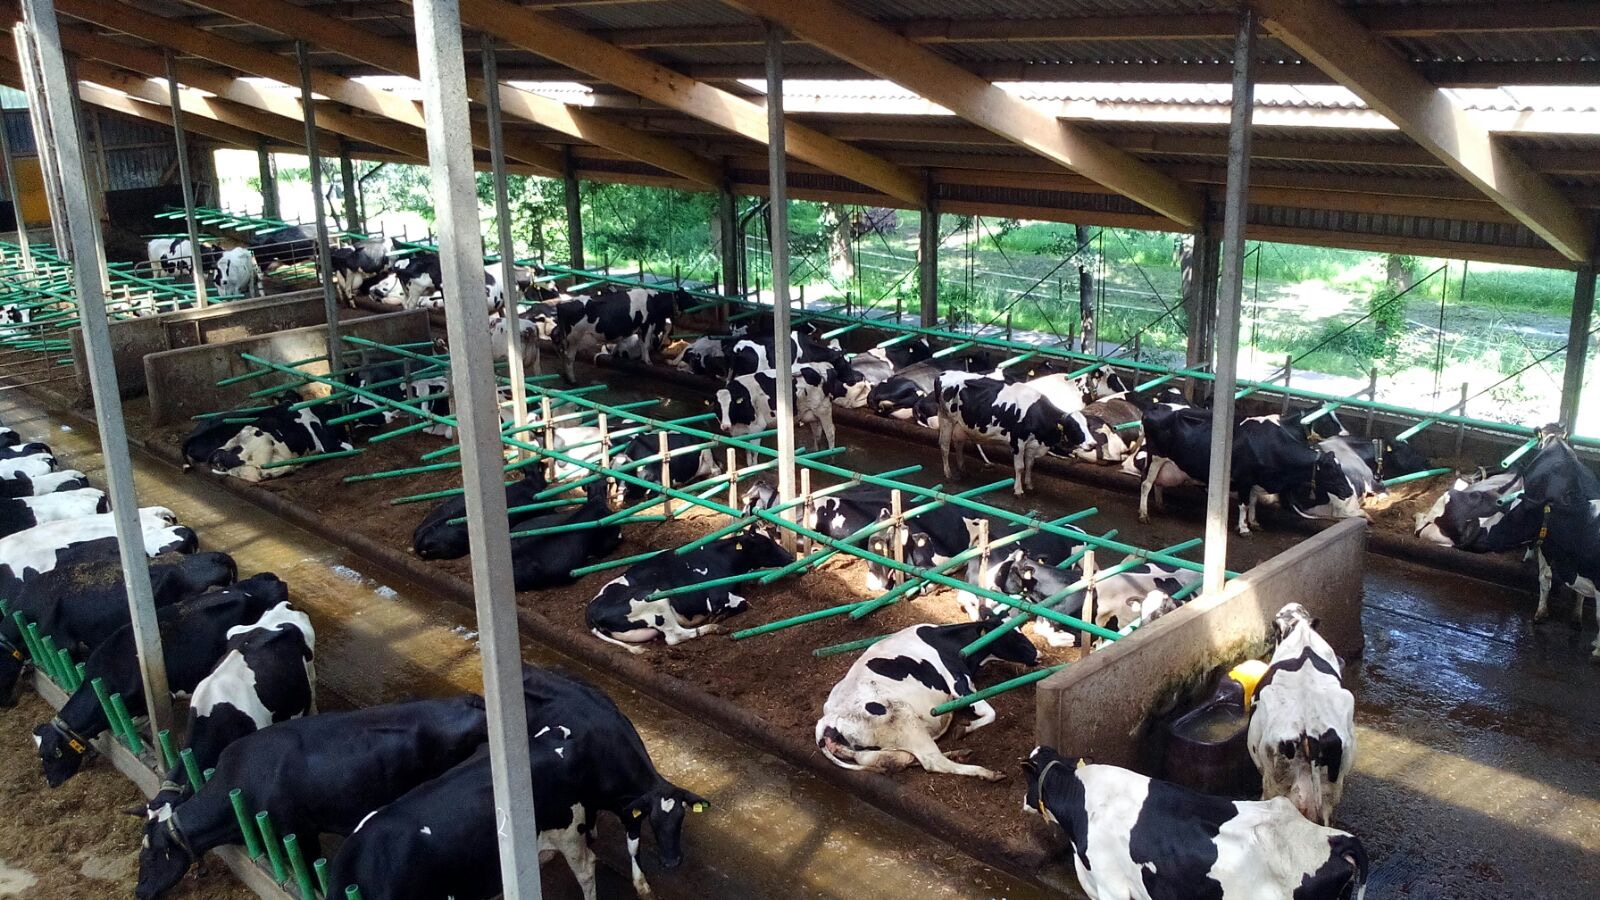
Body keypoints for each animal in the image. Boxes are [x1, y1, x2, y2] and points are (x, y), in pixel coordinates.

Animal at [520, 667, 709, 896]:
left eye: (681, 817)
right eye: (654, 821)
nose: (671, 862)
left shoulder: (632, 807)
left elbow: (633, 844)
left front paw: (641, 883)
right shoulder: (588, 798)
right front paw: (590, 834)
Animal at [587, 531, 793, 652]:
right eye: (765, 544)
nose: (791, 557)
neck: (722, 557)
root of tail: (590, 610)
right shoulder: (716, 598)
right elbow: (742, 603)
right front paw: (719, 616)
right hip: (655, 601)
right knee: (675, 636)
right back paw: (714, 627)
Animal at [815, 620, 1038, 781]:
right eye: (1011, 635)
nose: (1037, 653)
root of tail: (828, 720)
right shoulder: (959, 684)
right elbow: (991, 713)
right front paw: (964, 728)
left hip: (873, 751)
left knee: (902, 759)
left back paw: (960, 753)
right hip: (903, 717)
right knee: (932, 761)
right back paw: (986, 772)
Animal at [936, 371, 1094, 495]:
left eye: (1087, 425)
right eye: (1075, 427)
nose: (1093, 444)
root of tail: (943, 374)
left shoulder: (1032, 443)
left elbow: (1030, 464)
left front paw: (1029, 484)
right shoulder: (1018, 441)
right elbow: (1020, 467)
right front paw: (1018, 490)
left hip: (960, 424)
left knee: (958, 443)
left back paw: (962, 469)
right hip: (946, 419)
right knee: (944, 446)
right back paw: (948, 473)